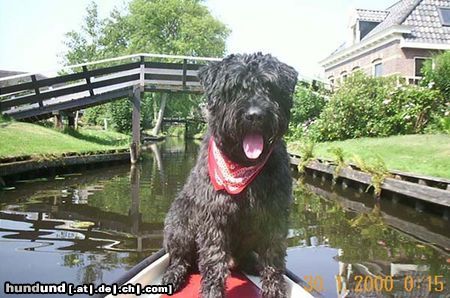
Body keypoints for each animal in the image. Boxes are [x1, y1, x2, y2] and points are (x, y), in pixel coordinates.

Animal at [163, 53, 298, 298]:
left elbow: (274, 257)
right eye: (234, 88)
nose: (255, 115)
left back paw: (252, 263)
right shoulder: (214, 216)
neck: (242, 165)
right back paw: (173, 275)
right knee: (180, 259)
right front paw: (212, 291)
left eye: (269, 87)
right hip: (179, 223)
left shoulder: (274, 215)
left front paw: (274, 289)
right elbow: (213, 259)